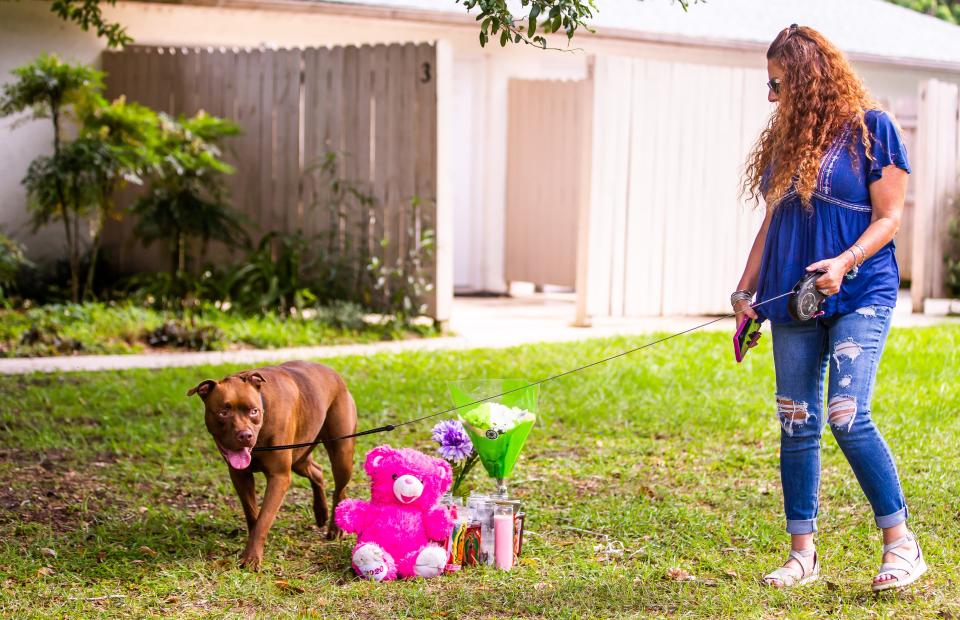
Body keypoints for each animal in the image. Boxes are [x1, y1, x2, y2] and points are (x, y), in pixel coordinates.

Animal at [188, 360, 356, 568]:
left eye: (254, 411)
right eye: (223, 412)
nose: (245, 435)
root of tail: (334, 373)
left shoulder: (279, 476)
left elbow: (264, 518)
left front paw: (251, 558)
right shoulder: (240, 476)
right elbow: (253, 514)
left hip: (341, 454)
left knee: (340, 489)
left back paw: (335, 527)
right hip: (299, 456)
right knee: (316, 471)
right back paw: (320, 512)